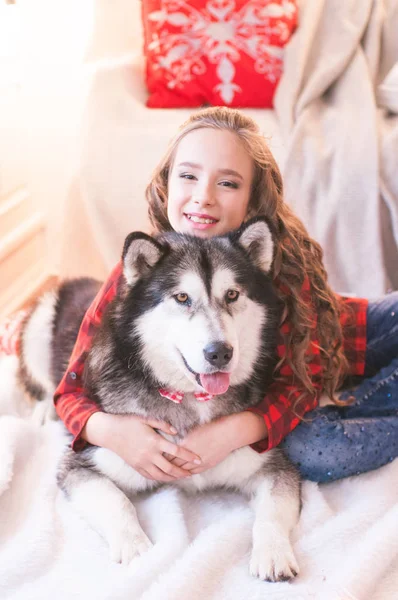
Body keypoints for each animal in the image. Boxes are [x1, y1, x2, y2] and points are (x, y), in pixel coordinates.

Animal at [17, 219, 302, 580]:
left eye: (232, 294)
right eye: (182, 297)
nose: (220, 353)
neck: (190, 398)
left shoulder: (271, 464)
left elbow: (273, 510)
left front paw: (273, 552)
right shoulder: (82, 462)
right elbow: (116, 501)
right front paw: (135, 548)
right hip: (39, 327)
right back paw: (44, 409)